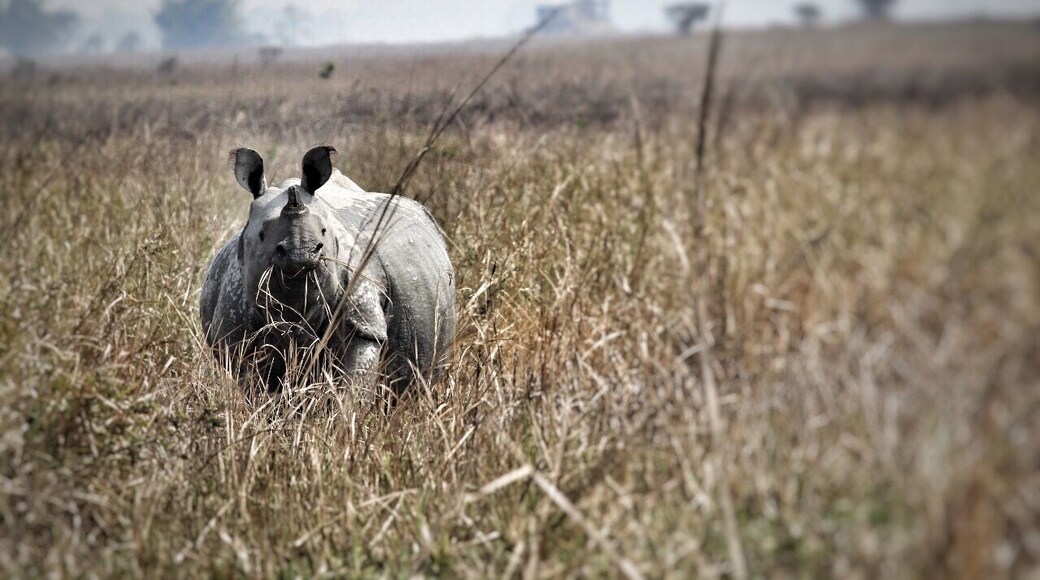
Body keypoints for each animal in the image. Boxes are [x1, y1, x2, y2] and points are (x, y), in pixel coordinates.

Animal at [199, 146, 455, 394]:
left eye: (324, 232)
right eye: (262, 235)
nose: (302, 252)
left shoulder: (363, 316)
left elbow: (355, 379)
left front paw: (346, 408)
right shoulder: (236, 333)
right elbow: (256, 384)